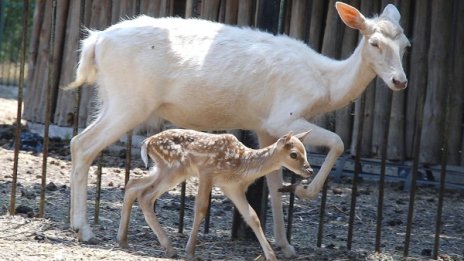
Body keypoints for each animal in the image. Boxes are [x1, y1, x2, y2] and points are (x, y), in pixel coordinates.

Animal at [117, 129, 312, 258]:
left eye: (305, 151)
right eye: (294, 154)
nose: (309, 171)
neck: (242, 164)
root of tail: (147, 142)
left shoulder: (233, 188)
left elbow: (253, 217)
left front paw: (271, 256)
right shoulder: (207, 172)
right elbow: (201, 208)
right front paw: (190, 251)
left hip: (163, 169)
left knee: (133, 185)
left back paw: (123, 240)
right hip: (174, 169)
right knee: (145, 196)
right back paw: (170, 249)